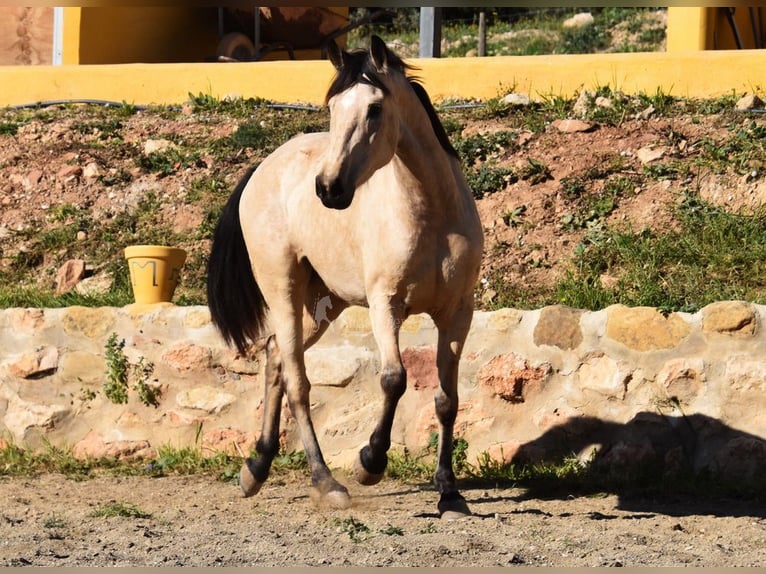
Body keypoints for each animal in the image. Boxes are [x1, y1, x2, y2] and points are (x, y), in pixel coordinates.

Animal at [208, 36, 486, 520]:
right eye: (334, 107)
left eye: (375, 108)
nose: (328, 188)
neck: (432, 214)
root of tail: (261, 170)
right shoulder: (385, 305)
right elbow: (394, 379)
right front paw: (369, 462)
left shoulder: (457, 313)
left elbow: (447, 401)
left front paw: (450, 493)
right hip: (283, 289)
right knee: (297, 381)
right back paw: (326, 481)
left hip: (321, 306)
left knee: (275, 356)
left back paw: (257, 467)